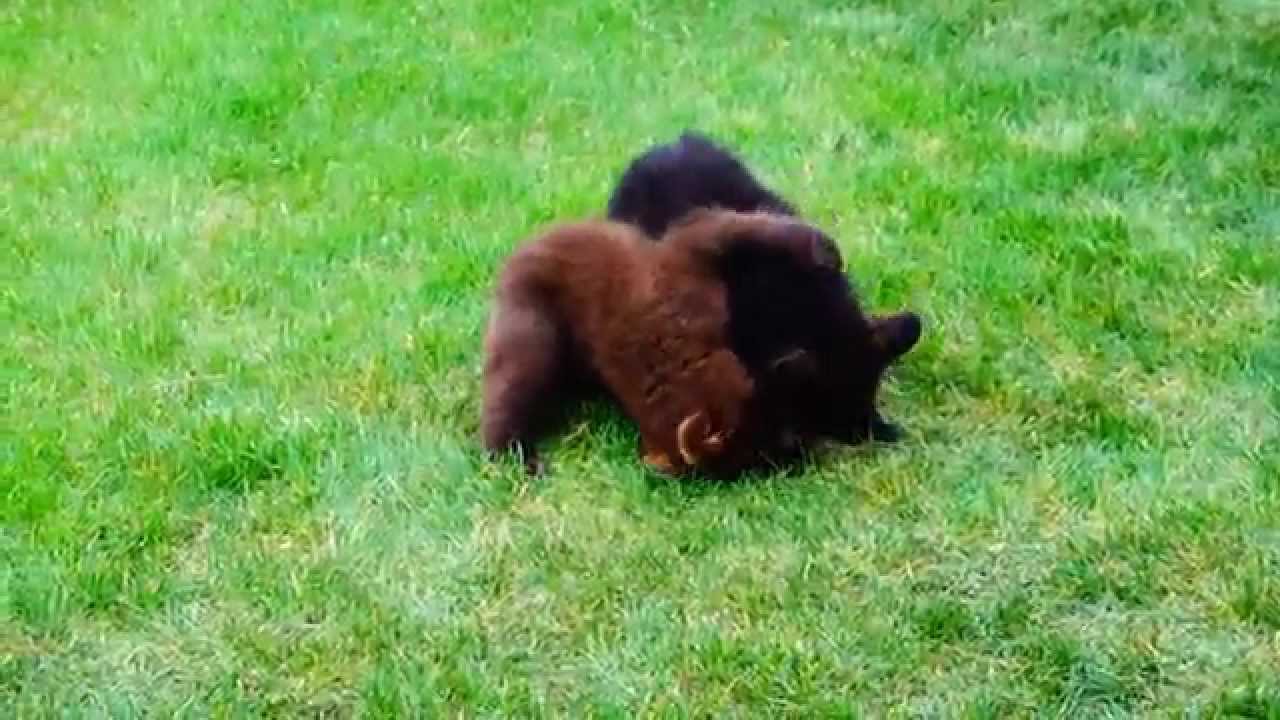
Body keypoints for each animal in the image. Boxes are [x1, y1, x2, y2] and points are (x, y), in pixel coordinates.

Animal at [481, 209, 842, 477]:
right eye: (764, 456)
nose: (808, 454)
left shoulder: (685, 263)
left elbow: (727, 227)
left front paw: (823, 248)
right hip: (532, 330)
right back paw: (518, 458)